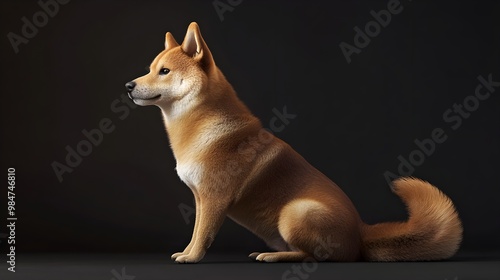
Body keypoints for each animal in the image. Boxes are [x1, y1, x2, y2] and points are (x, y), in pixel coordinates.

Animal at [125, 23, 460, 264]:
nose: (128, 85)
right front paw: (186, 251)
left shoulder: (213, 199)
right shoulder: (200, 198)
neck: (203, 126)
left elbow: (203, 235)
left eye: (164, 71)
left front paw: (192, 258)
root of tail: (360, 231)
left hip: (295, 212)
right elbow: (195, 233)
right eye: (151, 69)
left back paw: (274, 256)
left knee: (316, 256)